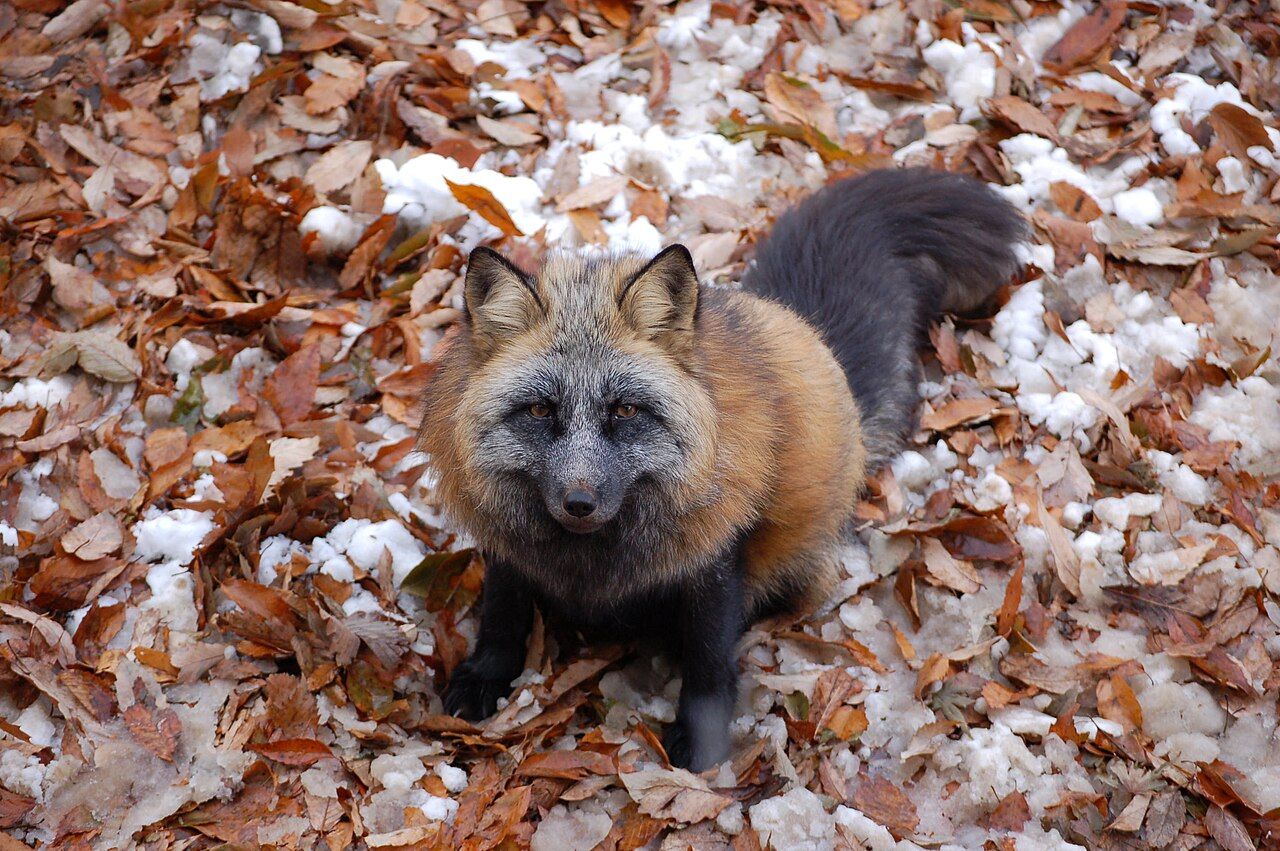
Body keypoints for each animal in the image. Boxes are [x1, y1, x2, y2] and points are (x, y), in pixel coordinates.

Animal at [418, 168, 1025, 771]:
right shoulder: (506, 542)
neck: (594, 563)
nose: (579, 503)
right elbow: (501, 615)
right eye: (542, 411)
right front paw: (486, 678)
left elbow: (709, 663)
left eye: (626, 411)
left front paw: (701, 740)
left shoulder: (714, 559)